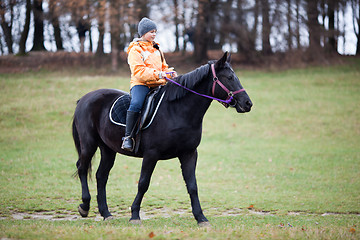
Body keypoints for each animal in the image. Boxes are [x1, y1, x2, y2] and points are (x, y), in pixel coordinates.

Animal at [72, 51, 253, 226]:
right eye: (229, 78)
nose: (248, 103)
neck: (177, 111)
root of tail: (84, 99)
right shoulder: (151, 155)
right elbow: (143, 183)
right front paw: (135, 215)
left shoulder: (189, 154)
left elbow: (192, 186)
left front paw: (201, 218)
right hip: (89, 144)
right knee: (82, 168)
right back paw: (85, 206)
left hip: (108, 149)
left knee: (101, 176)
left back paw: (106, 213)